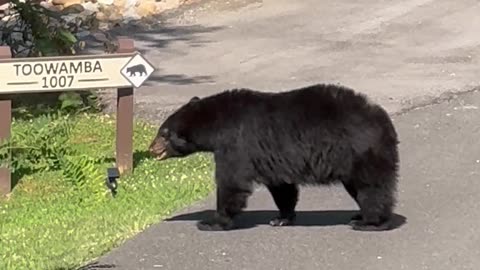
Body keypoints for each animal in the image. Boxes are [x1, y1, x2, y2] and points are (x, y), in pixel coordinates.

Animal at [148, 83, 400, 231]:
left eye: (164, 132)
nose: (151, 148)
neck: (217, 123)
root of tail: (384, 120)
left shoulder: (236, 144)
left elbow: (232, 183)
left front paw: (212, 221)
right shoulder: (271, 158)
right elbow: (282, 188)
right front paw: (282, 218)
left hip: (360, 152)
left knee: (371, 189)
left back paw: (371, 222)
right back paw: (360, 215)